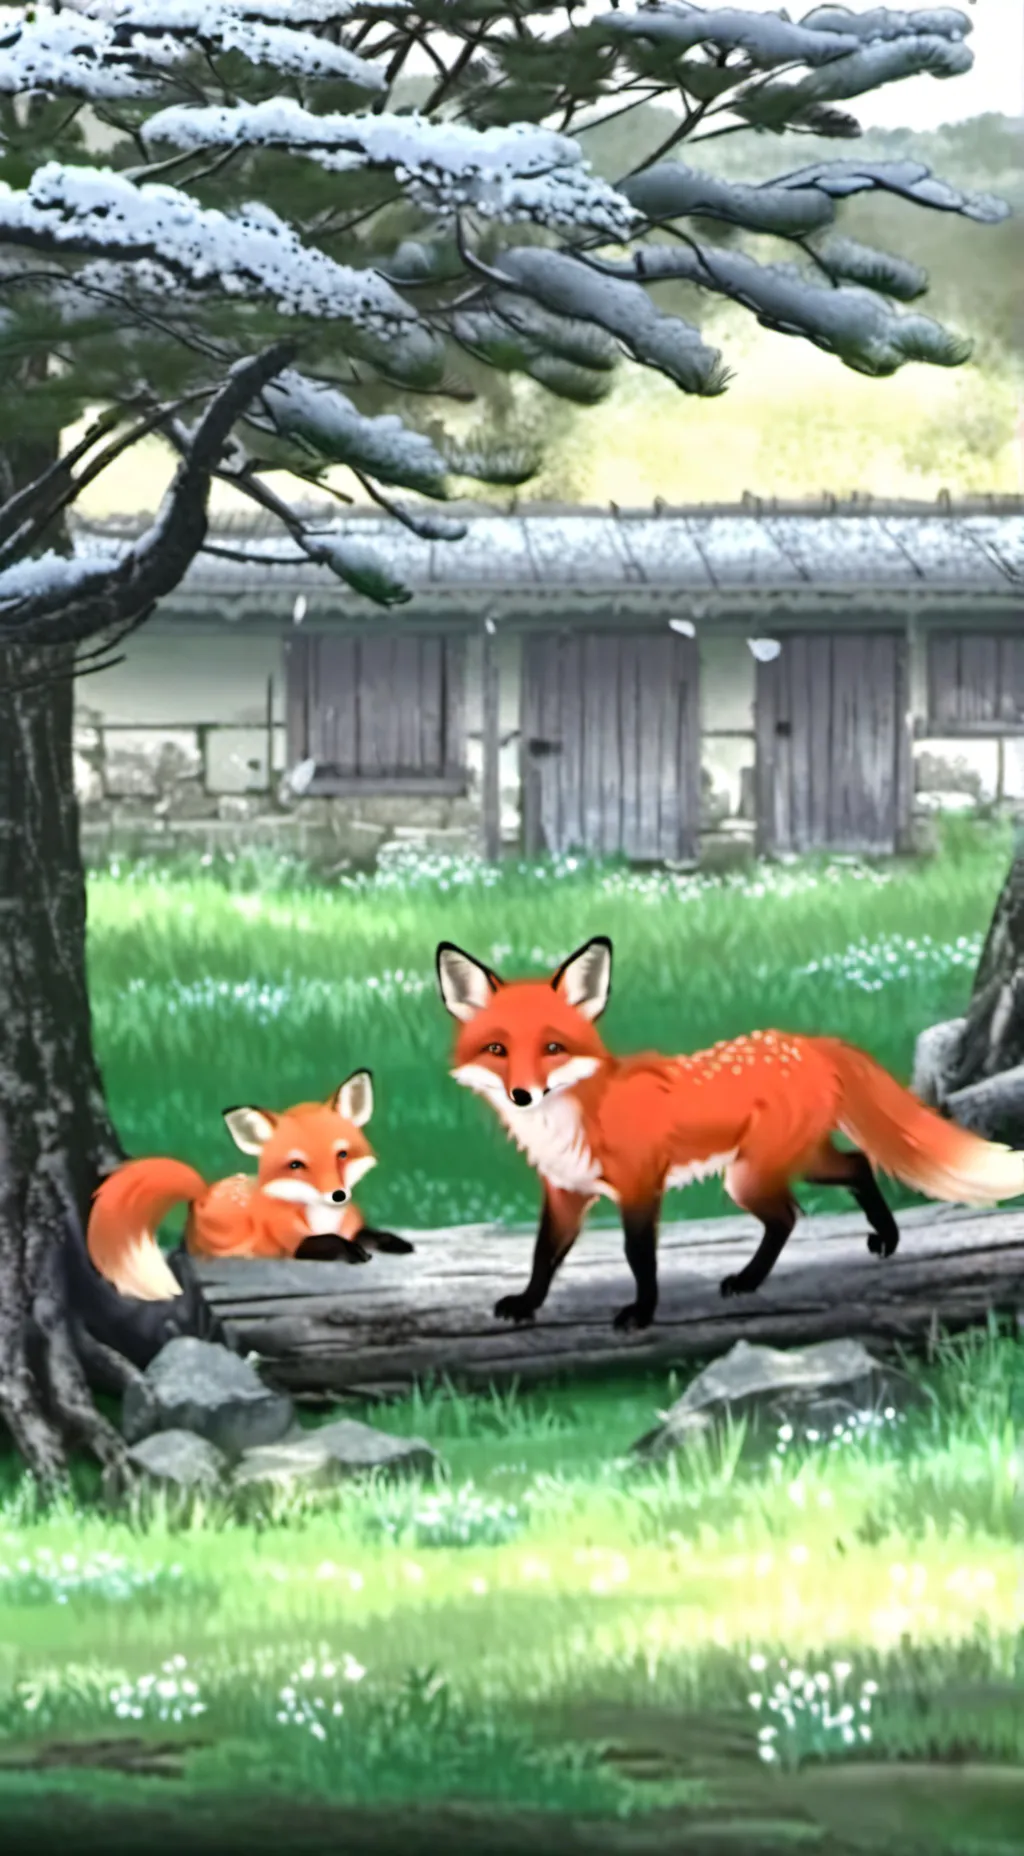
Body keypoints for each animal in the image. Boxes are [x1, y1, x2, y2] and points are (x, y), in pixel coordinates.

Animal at [86, 1069, 414, 1303]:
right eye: (296, 1165)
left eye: (342, 1155)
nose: (338, 1195)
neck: (324, 1218)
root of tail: (203, 1191)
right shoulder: (290, 1243)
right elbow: (328, 1241)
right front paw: (351, 1250)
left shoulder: (351, 1225)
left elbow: (369, 1233)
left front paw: (394, 1241)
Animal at [436, 935, 1024, 1333]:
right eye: (498, 1050)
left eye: (553, 1048)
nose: (523, 1095)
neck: (577, 1118)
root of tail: (808, 1041)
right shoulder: (565, 1192)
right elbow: (543, 1256)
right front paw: (527, 1302)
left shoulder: (640, 1186)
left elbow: (639, 1257)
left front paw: (643, 1312)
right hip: (790, 1162)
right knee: (855, 1167)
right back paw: (884, 1239)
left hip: (748, 1176)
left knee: (790, 1214)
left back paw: (749, 1279)